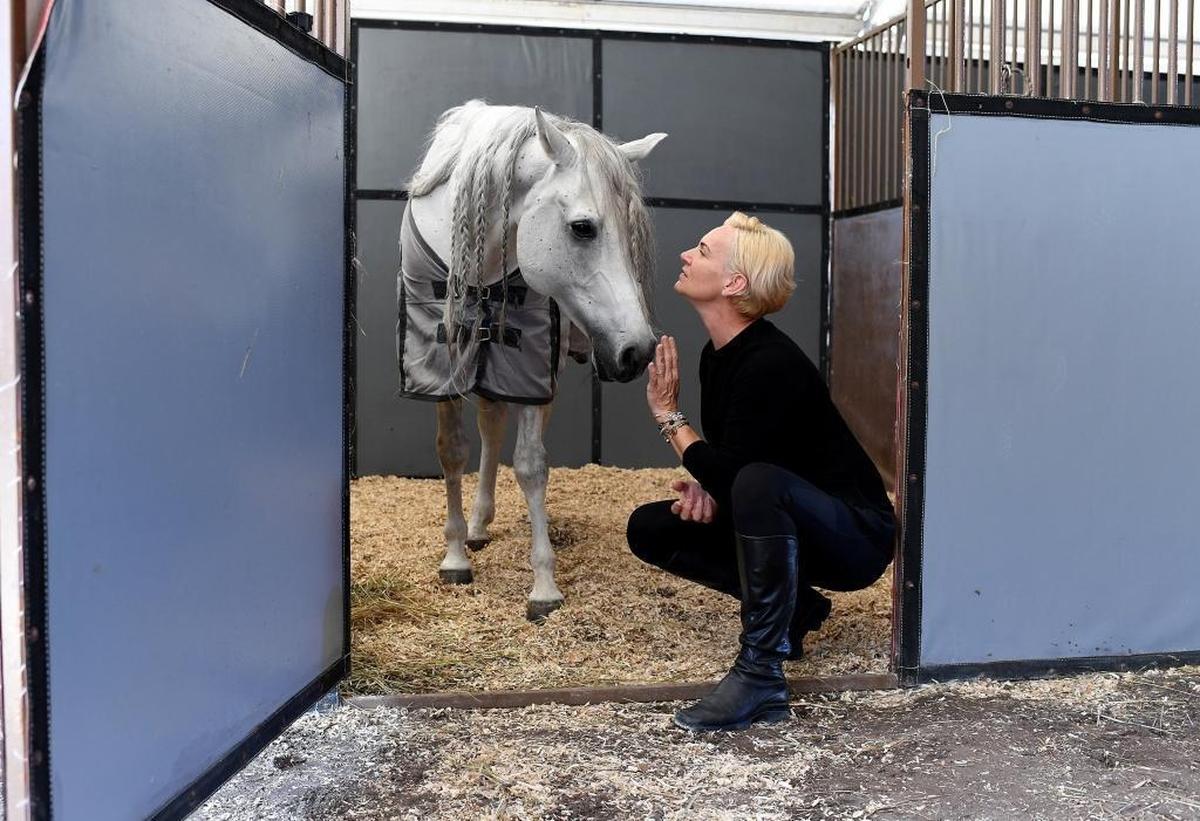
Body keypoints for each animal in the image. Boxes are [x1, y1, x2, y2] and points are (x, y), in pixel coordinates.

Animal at [398, 100, 666, 620]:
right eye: (582, 228)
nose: (639, 351)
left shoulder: (531, 361)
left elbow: (529, 464)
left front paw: (544, 584)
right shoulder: (437, 355)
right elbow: (452, 451)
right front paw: (454, 556)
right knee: (487, 426)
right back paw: (476, 529)